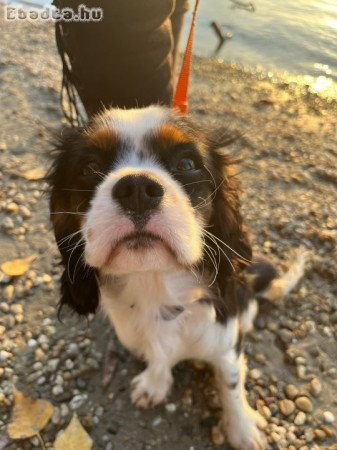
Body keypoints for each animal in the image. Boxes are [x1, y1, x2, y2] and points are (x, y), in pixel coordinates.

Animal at [47, 106, 304, 450]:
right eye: (90, 167)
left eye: (186, 164)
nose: (137, 189)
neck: (155, 286)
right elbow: (158, 359)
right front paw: (154, 384)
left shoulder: (225, 342)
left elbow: (231, 382)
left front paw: (243, 429)